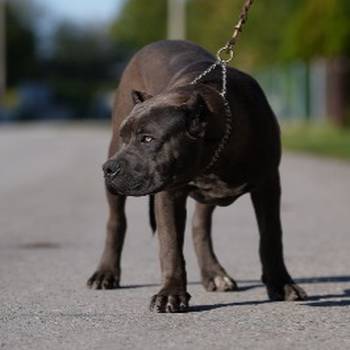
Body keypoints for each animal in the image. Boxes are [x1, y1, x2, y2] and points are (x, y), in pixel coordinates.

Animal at [87, 40, 306, 312]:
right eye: (124, 138)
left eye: (147, 139)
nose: (109, 168)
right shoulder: (169, 194)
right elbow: (170, 245)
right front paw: (171, 293)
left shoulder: (268, 185)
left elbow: (271, 237)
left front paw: (281, 284)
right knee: (116, 222)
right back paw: (105, 273)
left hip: (210, 196)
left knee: (200, 225)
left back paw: (214, 273)